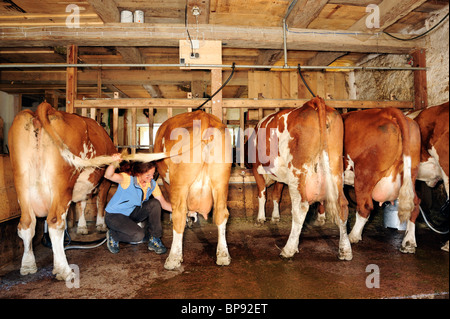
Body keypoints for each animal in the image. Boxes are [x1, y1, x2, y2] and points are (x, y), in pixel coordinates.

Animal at [8, 102, 116, 280]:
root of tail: (42, 110)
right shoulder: (105, 179)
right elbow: (100, 202)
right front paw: (100, 225)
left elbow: (81, 204)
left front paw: (82, 227)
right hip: (62, 186)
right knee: (55, 222)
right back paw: (64, 270)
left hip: (21, 183)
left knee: (26, 224)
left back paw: (28, 265)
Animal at [154, 110, 232, 270]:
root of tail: (204, 117)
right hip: (220, 181)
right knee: (221, 213)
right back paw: (223, 256)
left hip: (180, 183)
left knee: (179, 214)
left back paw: (173, 258)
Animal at [250, 97, 352, 260]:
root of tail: (313, 102)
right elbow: (276, 195)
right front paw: (275, 217)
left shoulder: (257, 169)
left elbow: (262, 194)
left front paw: (261, 218)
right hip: (335, 167)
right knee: (342, 204)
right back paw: (345, 250)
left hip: (297, 173)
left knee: (300, 207)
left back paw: (288, 249)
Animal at [342, 109, 424, 254]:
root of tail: (387, 111)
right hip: (411, 174)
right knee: (415, 204)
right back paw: (408, 242)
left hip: (364, 174)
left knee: (365, 207)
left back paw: (353, 236)